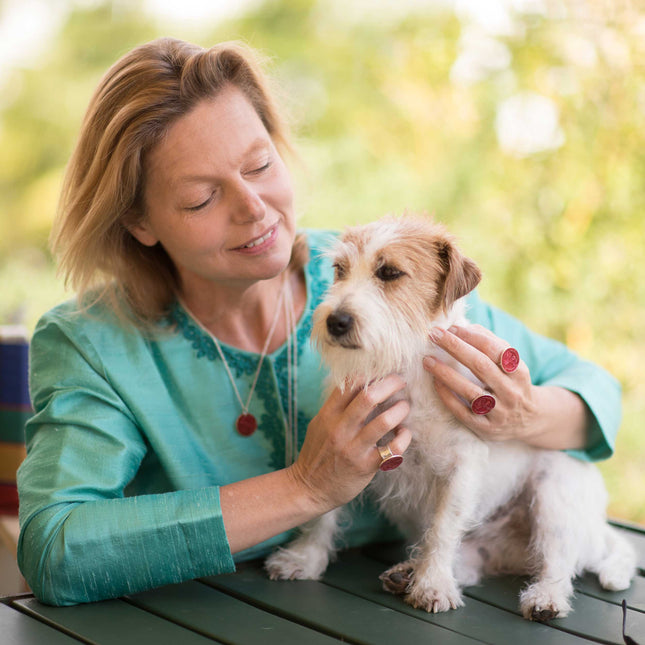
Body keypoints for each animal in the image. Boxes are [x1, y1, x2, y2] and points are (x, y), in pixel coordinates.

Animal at [266, 215, 632, 620]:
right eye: (339, 270)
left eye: (389, 272)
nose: (336, 321)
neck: (408, 366)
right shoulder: (346, 453)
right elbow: (324, 513)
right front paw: (305, 559)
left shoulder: (461, 467)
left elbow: (442, 528)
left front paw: (432, 586)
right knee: (471, 562)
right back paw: (406, 573)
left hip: (557, 497)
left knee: (559, 563)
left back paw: (544, 598)